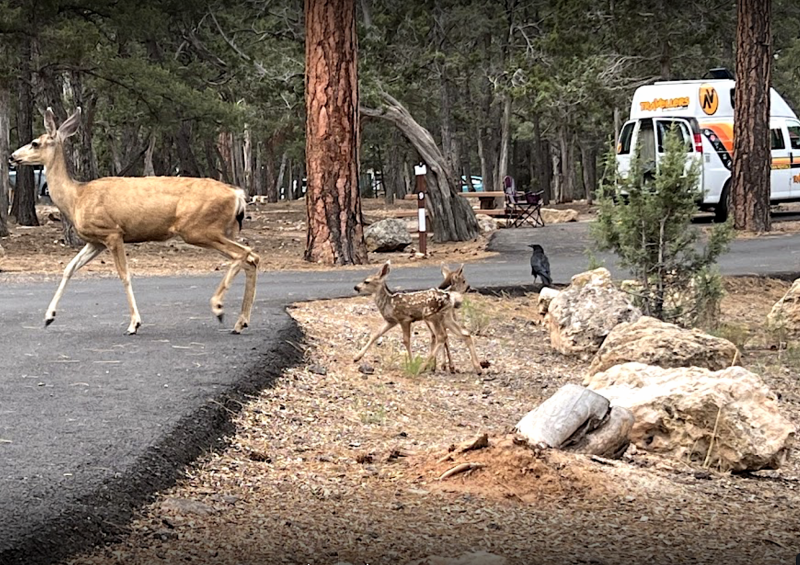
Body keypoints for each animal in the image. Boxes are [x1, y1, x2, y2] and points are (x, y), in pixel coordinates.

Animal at [10, 108, 260, 332]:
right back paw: (240, 323)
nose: (12, 157)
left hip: (199, 229)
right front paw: (48, 316)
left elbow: (124, 275)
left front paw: (134, 324)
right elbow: (69, 268)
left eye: (35, 143)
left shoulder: (112, 232)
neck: (76, 198)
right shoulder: (95, 241)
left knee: (245, 254)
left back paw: (218, 308)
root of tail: (237, 195)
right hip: (218, 231)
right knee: (251, 258)